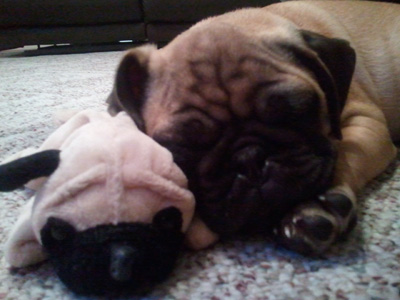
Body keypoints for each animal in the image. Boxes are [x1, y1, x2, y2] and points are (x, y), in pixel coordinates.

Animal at [107, 1, 400, 255]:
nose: (250, 159)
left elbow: (345, 153)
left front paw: (320, 204)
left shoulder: (366, 121)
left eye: (295, 113)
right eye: (184, 150)